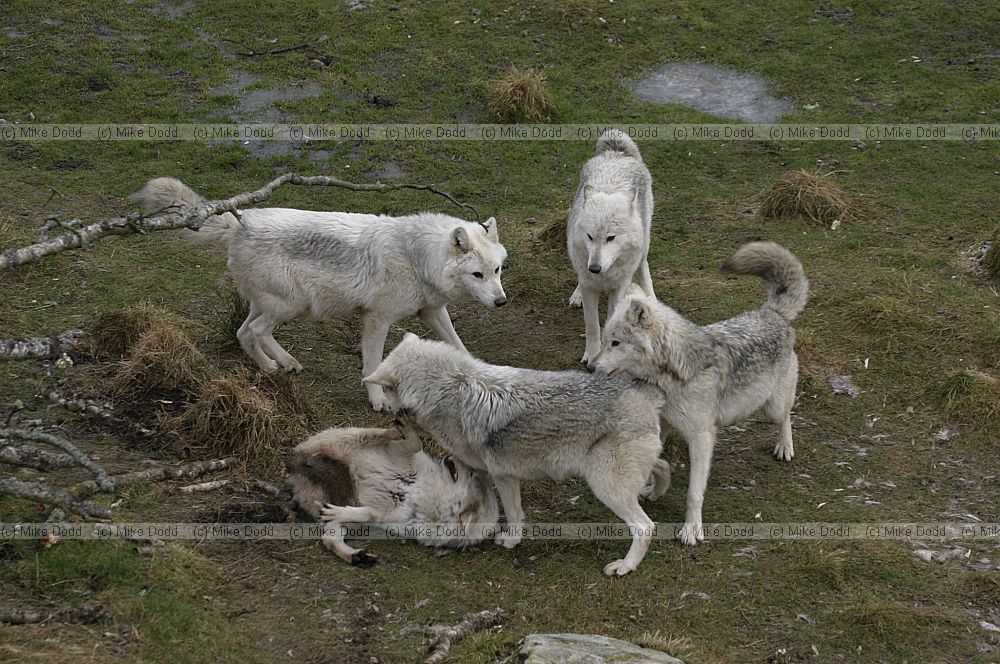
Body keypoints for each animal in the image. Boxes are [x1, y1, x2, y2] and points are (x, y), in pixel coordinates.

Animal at [131, 177, 508, 411]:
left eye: (497, 270)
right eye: (477, 274)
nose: (501, 302)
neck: (418, 258)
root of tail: (242, 221)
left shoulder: (431, 311)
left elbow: (458, 345)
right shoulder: (377, 319)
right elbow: (373, 364)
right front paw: (378, 400)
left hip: (265, 305)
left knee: (243, 332)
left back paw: (272, 366)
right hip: (291, 305)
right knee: (257, 331)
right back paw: (284, 362)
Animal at [286, 414, 500, 565]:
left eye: (471, 474)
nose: (454, 455)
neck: (421, 494)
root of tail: (296, 465)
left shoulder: (385, 515)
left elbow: (368, 514)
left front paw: (339, 511)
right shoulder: (400, 453)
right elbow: (415, 444)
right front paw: (408, 431)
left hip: (343, 516)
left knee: (329, 538)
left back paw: (356, 556)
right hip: (348, 441)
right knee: (377, 434)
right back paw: (403, 427)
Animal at [362, 333, 673, 576]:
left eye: (387, 390)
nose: (390, 412)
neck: (451, 388)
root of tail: (643, 392)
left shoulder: (503, 475)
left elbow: (513, 513)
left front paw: (510, 541)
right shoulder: (482, 470)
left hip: (604, 486)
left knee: (645, 527)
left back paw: (625, 566)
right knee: (664, 466)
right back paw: (655, 492)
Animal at [567, 129, 655, 364]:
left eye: (611, 238)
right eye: (590, 237)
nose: (595, 268)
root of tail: (617, 153)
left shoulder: (619, 287)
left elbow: (609, 320)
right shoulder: (589, 283)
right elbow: (591, 325)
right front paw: (591, 354)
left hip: (644, 245)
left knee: (644, 267)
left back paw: (651, 296)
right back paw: (576, 294)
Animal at [589, 241, 808, 546]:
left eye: (616, 343)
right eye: (606, 341)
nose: (590, 367)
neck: (673, 374)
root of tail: (771, 312)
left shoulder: (701, 437)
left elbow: (694, 492)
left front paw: (692, 530)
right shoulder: (664, 425)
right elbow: (656, 462)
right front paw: (653, 488)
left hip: (771, 407)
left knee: (785, 416)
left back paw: (785, 447)